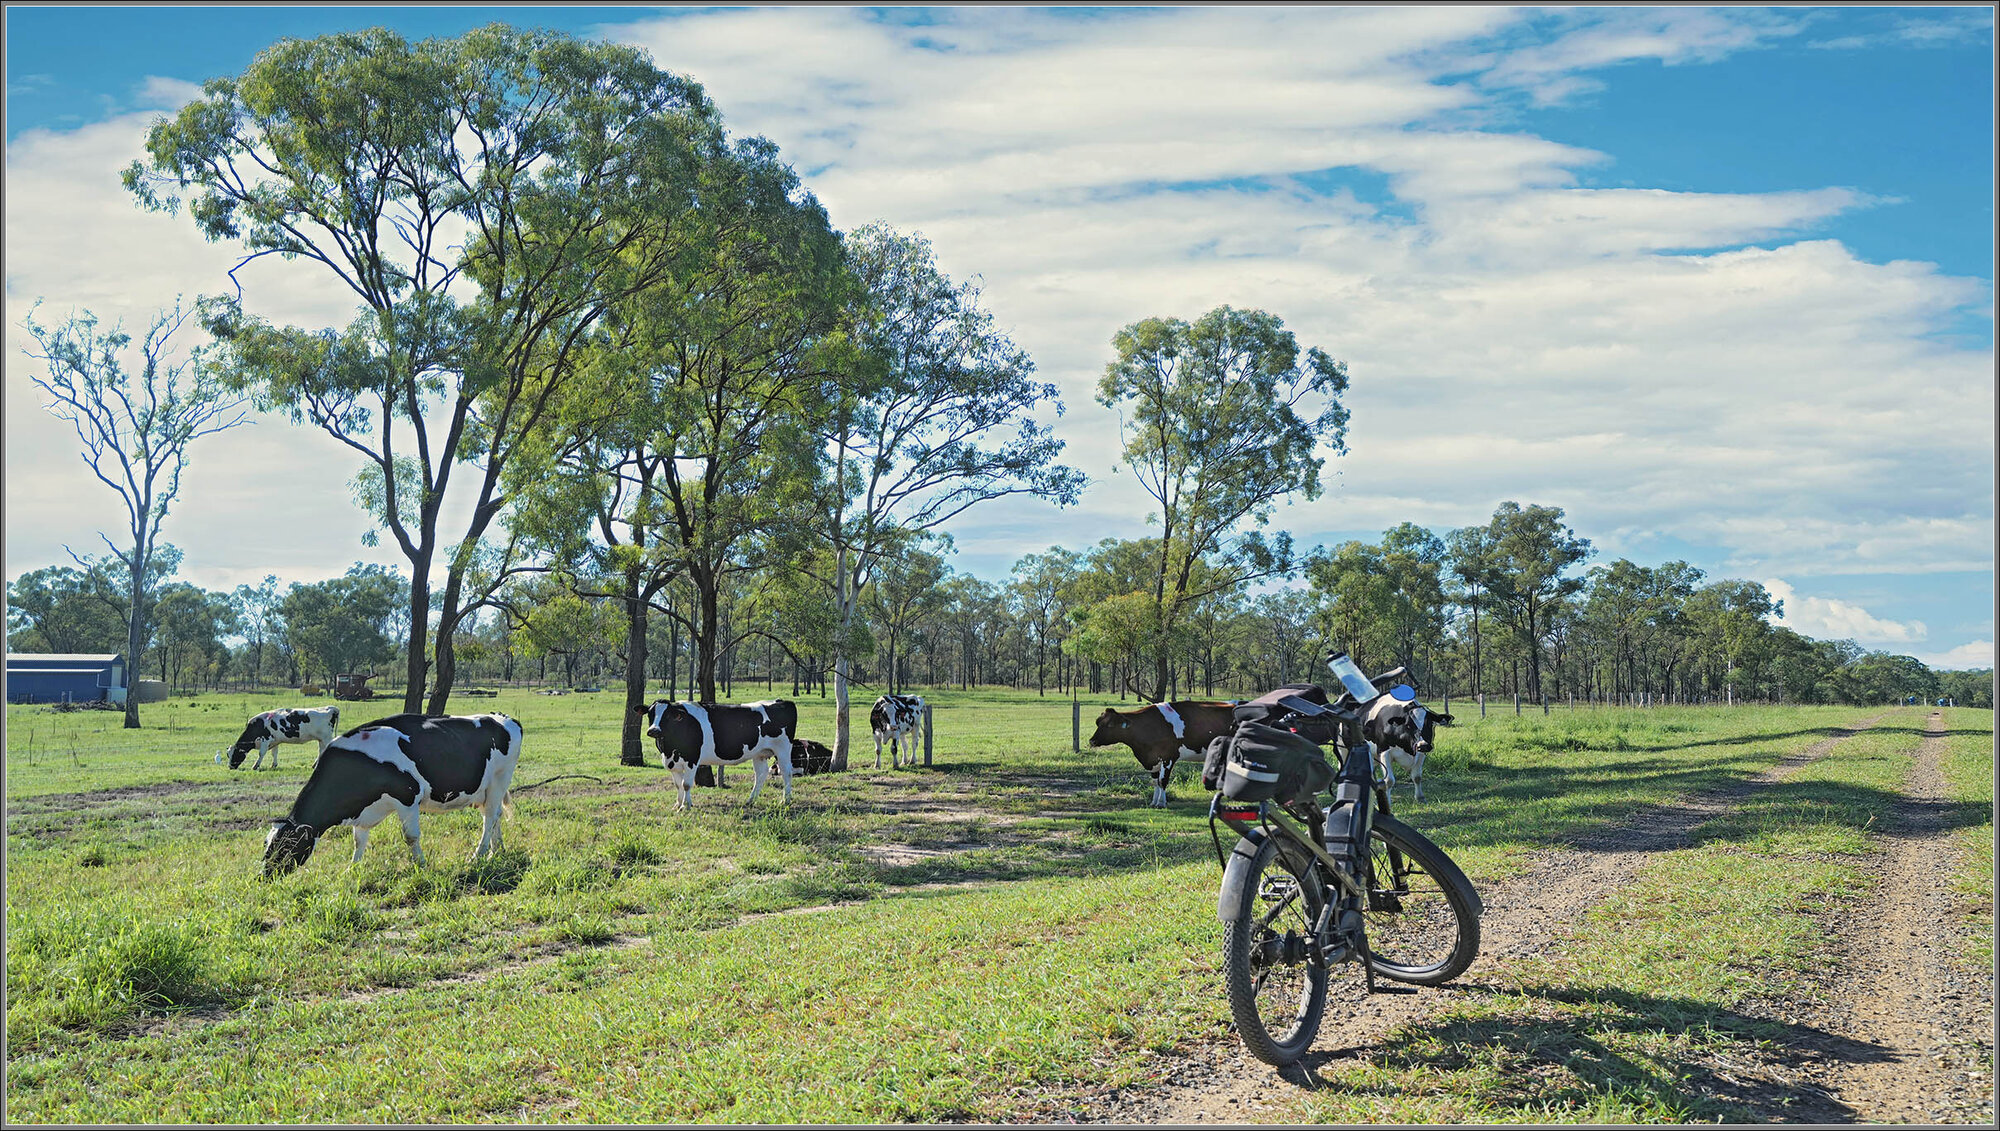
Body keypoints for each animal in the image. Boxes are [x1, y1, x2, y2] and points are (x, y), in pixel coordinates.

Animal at [264, 715, 524, 883]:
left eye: (286, 845)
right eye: (267, 843)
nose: (263, 876)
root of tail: (504, 718)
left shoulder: (408, 797)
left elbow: (411, 836)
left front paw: (421, 866)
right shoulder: (363, 812)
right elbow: (358, 841)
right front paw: (352, 869)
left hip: (500, 779)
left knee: (489, 818)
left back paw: (478, 856)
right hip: (486, 790)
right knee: (494, 816)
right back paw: (497, 850)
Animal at [636, 699, 800, 815]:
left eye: (668, 716)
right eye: (650, 714)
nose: (653, 730)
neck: (668, 749)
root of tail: (783, 701)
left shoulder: (691, 759)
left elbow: (686, 784)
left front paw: (685, 806)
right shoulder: (672, 763)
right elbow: (678, 785)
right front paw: (677, 804)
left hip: (783, 748)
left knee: (786, 772)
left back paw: (785, 800)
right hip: (759, 753)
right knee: (760, 774)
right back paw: (750, 800)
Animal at [1088, 699, 1240, 807]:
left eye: (1110, 725)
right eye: (1097, 722)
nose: (1092, 741)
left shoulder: (1168, 757)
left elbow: (1163, 781)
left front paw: (1161, 803)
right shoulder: (1151, 759)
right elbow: (1155, 782)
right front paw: (1154, 802)